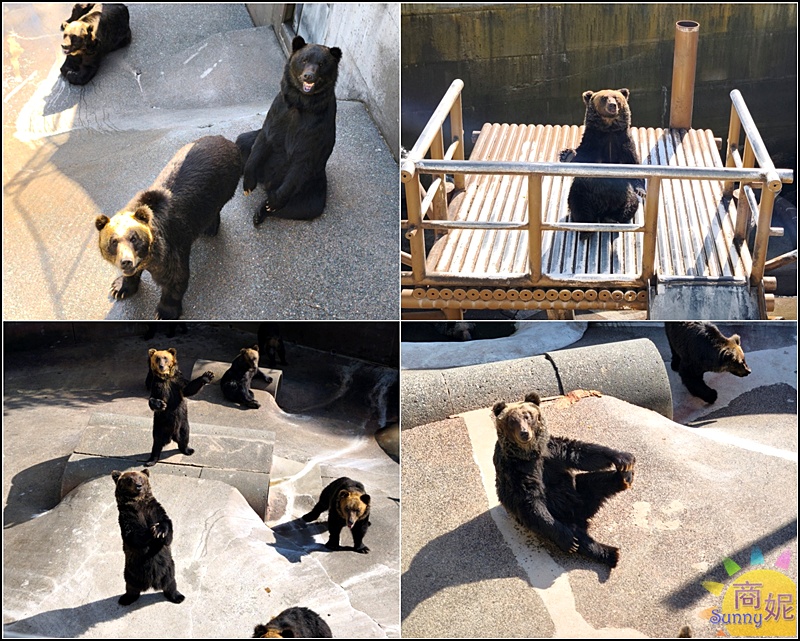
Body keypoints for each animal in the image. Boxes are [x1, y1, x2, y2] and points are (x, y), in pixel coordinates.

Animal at [95, 135, 242, 320]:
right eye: (113, 242)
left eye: (134, 238)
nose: (126, 262)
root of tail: (225, 139)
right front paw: (120, 288)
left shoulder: (172, 243)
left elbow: (175, 278)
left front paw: (165, 311)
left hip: (225, 185)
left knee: (217, 207)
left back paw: (210, 228)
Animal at [111, 468, 184, 605]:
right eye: (129, 479)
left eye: (140, 477)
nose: (138, 485)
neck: (138, 503)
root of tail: (152, 584)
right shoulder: (127, 517)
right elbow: (133, 535)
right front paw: (152, 531)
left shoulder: (155, 510)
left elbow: (168, 531)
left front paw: (160, 530)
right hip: (131, 571)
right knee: (130, 586)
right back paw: (126, 599)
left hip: (168, 568)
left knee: (171, 583)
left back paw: (177, 596)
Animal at [237, 36, 342, 224]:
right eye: (304, 60)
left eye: (322, 63)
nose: (309, 76)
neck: (301, 103)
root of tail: (267, 183)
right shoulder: (278, 111)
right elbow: (264, 139)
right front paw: (248, 184)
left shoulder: (317, 126)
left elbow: (303, 158)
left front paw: (272, 203)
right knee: (243, 141)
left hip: (313, 185)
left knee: (306, 207)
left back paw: (262, 210)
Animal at [492, 391, 635, 568]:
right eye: (512, 421)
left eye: (528, 416)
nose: (524, 433)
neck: (529, 454)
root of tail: (580, 517)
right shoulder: (515, 471)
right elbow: (530, 500)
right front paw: (568, 540)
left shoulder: (551, 450)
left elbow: (580, 452)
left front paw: (624, 458)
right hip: (560, 516)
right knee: (579, 537)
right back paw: (608, 553)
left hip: (579, 492)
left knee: (595, 483)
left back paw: (625, 477)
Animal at [559, 88, 646, 224]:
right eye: (604, 98)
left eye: (616, 98)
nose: (612, 105)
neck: (609, 129)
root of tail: (602, 211)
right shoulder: (593, 141)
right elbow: (583, 158)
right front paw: (567, 154)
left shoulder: (623, 142)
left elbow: (633, 162)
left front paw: (641, 191)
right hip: (582, 193)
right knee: (579, 207)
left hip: (624, 196)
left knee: (630, 205)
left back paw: (612, 218)